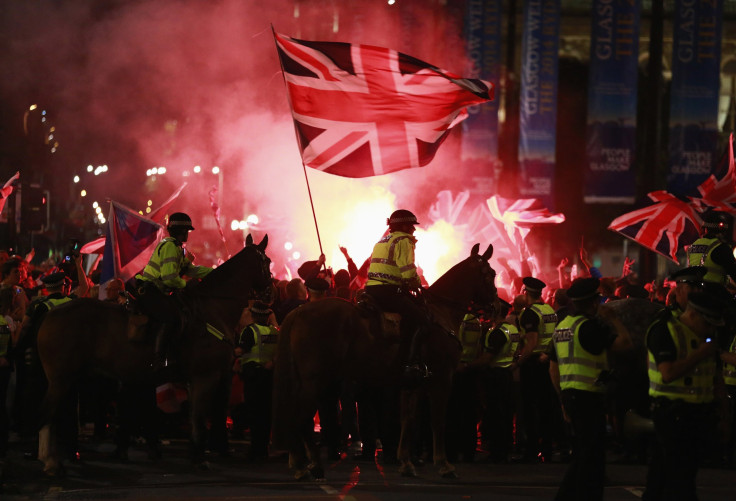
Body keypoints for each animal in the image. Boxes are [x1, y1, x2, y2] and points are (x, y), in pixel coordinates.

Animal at [36, 232, 272, 474]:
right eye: (268, 261)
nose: (269, 292)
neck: (212, 309)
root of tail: (51, 313)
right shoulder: (205, 378)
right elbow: (198, 420)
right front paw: (199, 458)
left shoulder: (194, 381)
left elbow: (193, 420)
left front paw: (194, 454)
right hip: (61, 379)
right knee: (47, 414)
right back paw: (51, 462)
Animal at [270, 244, 494, 478]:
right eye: (491, 275)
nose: (495, 305)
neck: (441, 313)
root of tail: (299, 311)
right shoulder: (442, 379)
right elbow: (438, 421)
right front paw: (444, 464)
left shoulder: (413, 384)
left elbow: (408, 420)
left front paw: (406, 463)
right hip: (315, 380)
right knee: (301, 419)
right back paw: (310, 465)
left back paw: (304, 463)